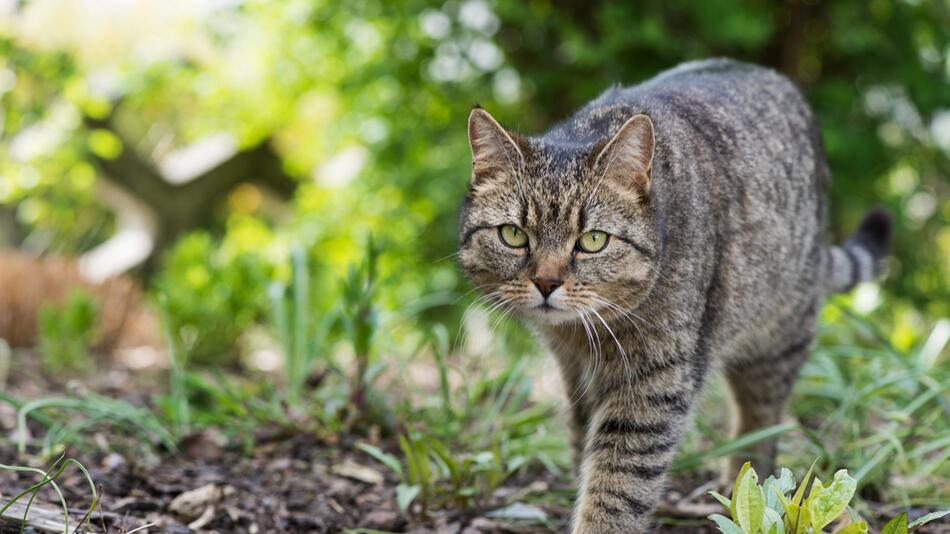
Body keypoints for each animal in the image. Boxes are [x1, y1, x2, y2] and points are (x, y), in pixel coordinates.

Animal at [460, 57, 892, 532]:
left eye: (592, 240)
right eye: (513, 235)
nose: (546, 283)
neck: (584, 335)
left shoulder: (654, 382)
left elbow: (617, 482)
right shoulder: (573, 371)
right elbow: (582, 448)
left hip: (776, 334)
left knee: (761, 421)